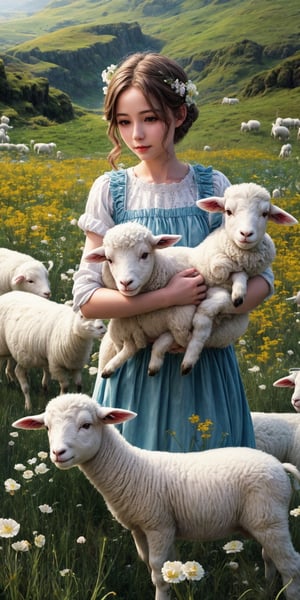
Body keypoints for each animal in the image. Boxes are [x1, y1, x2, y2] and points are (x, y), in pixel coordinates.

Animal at [13, 392, 300, 600]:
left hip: (270, 521)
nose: (57, 453)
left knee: (291, 565)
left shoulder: (159, 525)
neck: (129, 469)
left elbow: (159, 573)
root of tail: (279, 465)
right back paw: (266, 589)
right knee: (270, 558)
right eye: (47, 427)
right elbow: (159, 565)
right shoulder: (140, 528)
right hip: (262, 521)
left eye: (86, 425)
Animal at [85, 183, 296, 380]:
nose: (246, 234)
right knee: (131, 346)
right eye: (228, 211)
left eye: (265, 213)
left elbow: (203, 319)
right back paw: (110, 367)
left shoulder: (203, 299)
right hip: (124, 327)